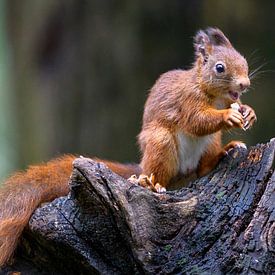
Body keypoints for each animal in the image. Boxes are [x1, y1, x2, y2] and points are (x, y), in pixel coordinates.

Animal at [0, 28, 256, 268]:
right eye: (219, 68)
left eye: (244, 61)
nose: (245, 84)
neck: (212, 93)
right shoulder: (187, 101)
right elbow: (197, 121)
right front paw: (228, 116)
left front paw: (248, 112)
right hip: (161, 143)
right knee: (160, 173)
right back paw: (151, 184)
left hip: (210, 143)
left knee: (204, 167)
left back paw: (225, 151)